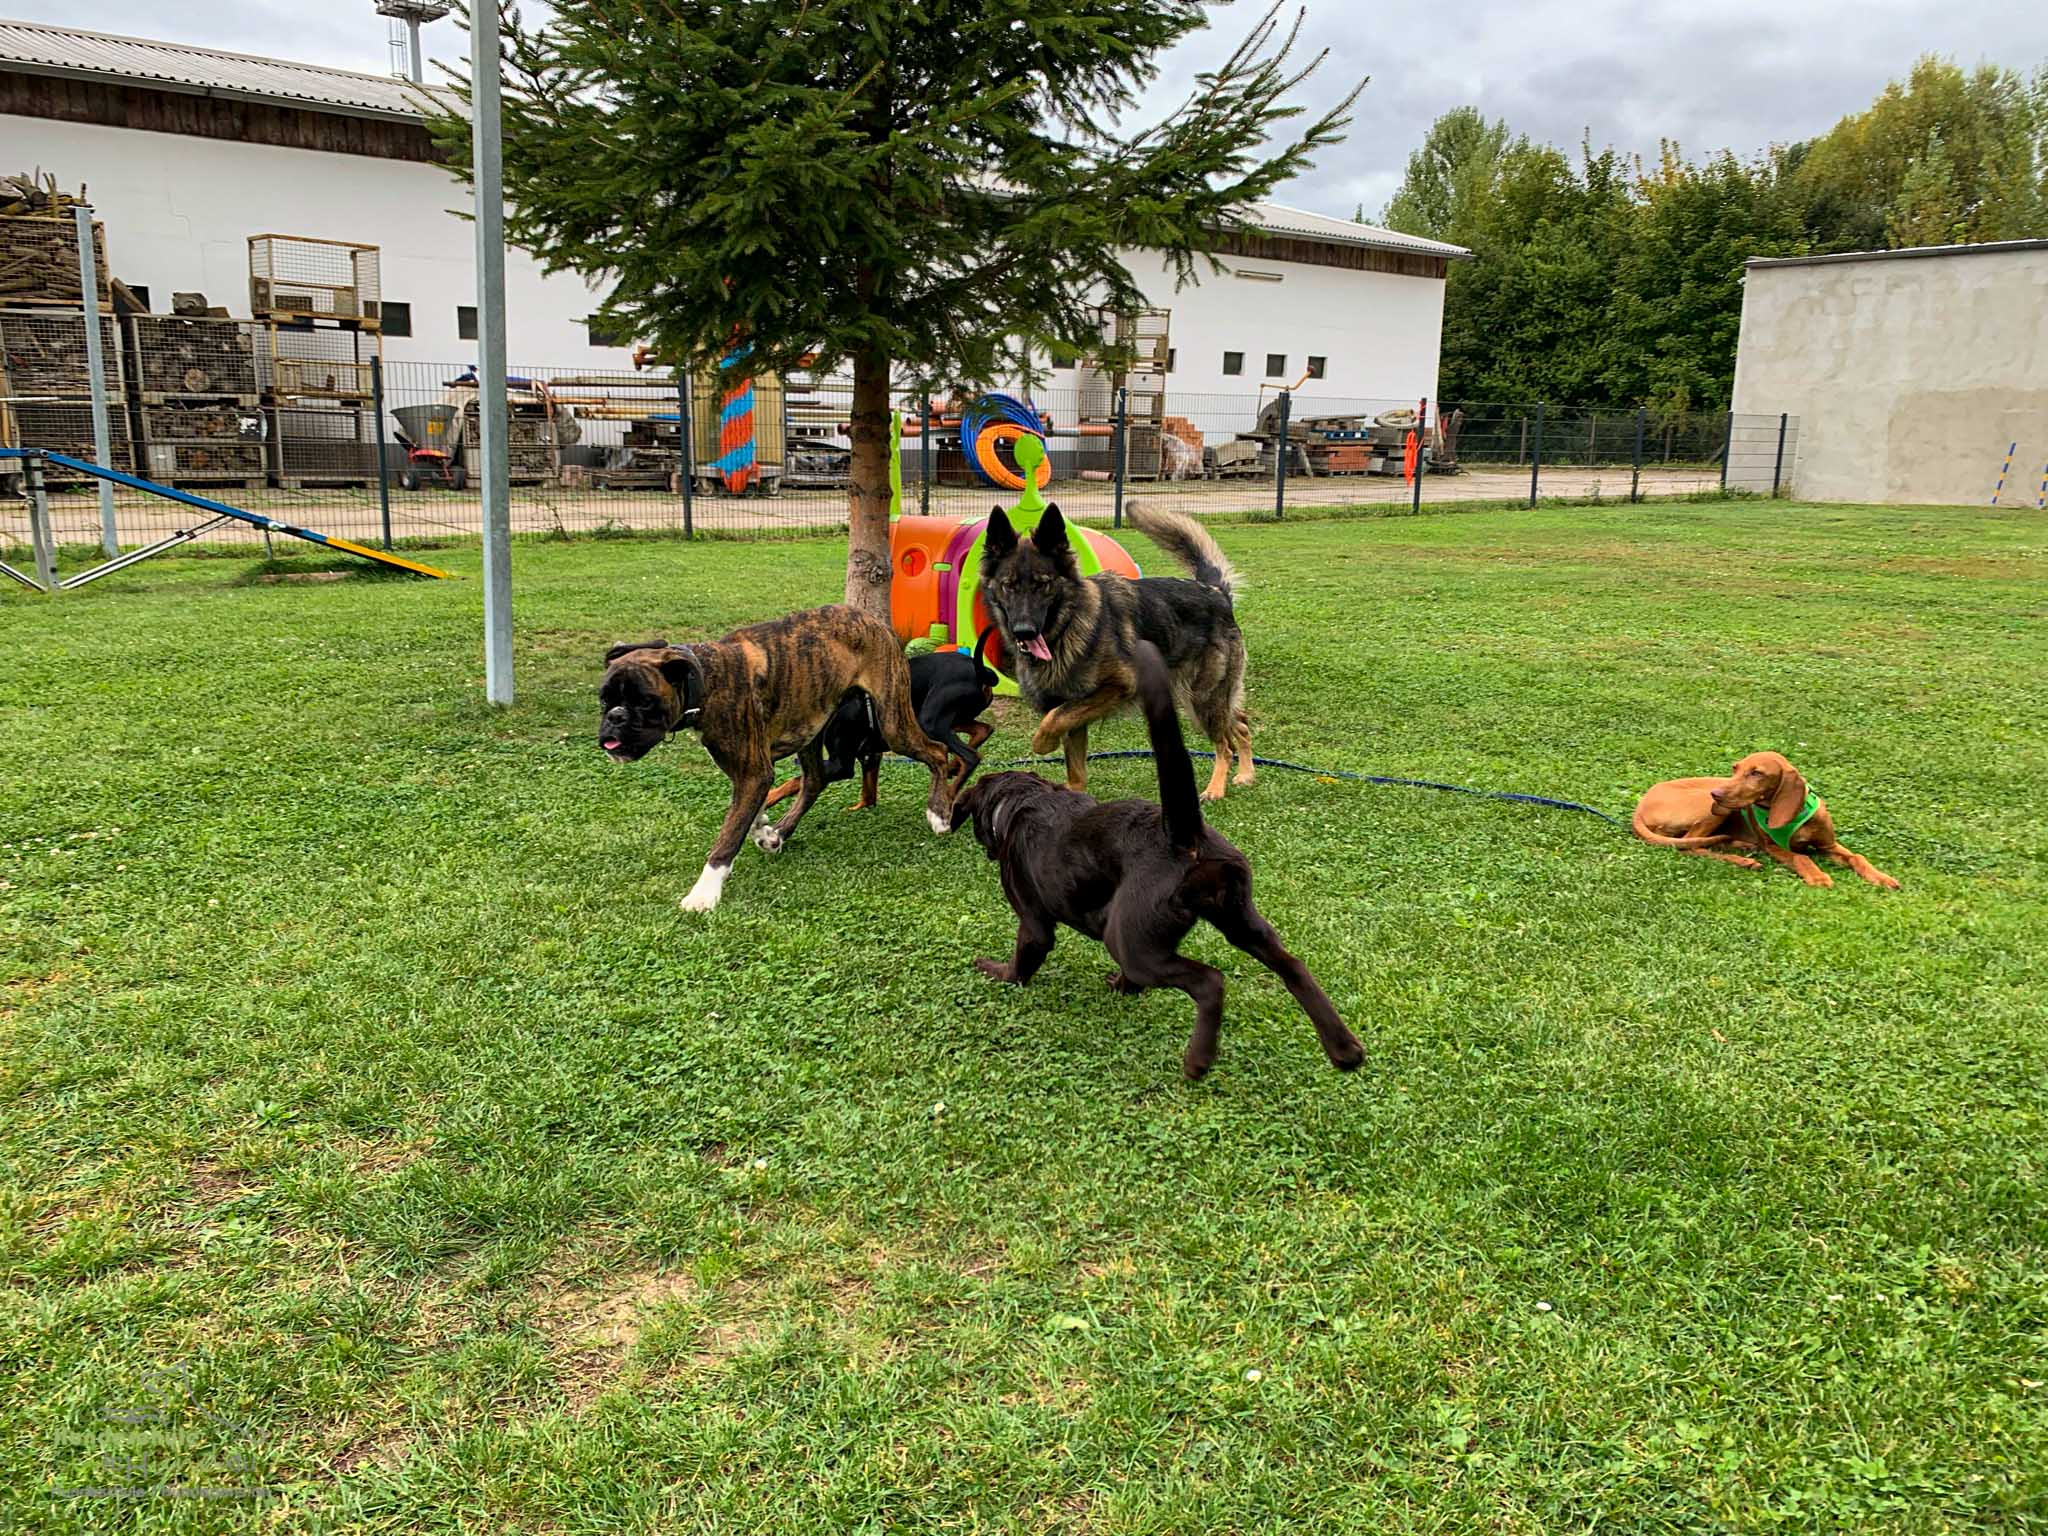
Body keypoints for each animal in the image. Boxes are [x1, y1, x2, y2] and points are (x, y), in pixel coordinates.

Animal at [599, 605, 957, 912]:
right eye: (604, 699)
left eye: (645, 702)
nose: (615, 717)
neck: (707, 678)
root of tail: (871, 619)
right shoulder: (751, 773)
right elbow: (749, 813)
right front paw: (762, 830)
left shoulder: (753, 773)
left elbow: (727, 837)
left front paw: (704, 893)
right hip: (811, 727)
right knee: (814, 781)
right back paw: (780, 832)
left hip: (893, 722)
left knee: (938, 752)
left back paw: (939, 814)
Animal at [763, 628, 1001, 813]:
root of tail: (982, 671)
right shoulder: (868, 755)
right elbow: (868, 793)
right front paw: (860, 807)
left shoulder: (841, 764)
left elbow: (795, 781)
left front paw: (769, 798)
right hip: (948, 719)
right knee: (982, 731)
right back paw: (951, 767)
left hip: (930, 720)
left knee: (971, 756)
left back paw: (948, 793)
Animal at [951, 639, 1364, 1081]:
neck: (1021, 803)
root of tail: (1184, 836)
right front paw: (1121, 988)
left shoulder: (1033, 920)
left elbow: (1022, 958)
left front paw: (996, 971)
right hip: (1241, 918)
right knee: (1294, 966)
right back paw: (1344, 1049)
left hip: (1133, 940)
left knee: (1210, 981)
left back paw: (1199, 1060)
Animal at [977, 504, 1252, 802]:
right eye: (1008, 585)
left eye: (1043, 584)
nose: (1024, 631)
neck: (1066, 627)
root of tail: (1216, 592)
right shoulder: (1074, 714)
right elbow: (1075, 768)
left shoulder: (1117, 687)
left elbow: (1052, 719)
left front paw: (1043, 744)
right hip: (1203, 700)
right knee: (1241, 724)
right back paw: (1246, 774)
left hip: (1203, 700)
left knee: (1225, 744)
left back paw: (1216, 788)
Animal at [1632, 750, 1899, 889]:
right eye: (1735, 768)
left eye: (1757, 773)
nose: (1716, 794)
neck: (1794, 816)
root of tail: (1641, 804)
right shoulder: (1773, 846)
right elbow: (1801, 856)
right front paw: (1818, 876)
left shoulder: (1828, 845)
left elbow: (1857, 856)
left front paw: (1881, 877)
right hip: (1712, 808)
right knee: (1689, 845)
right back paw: (1744, 860)